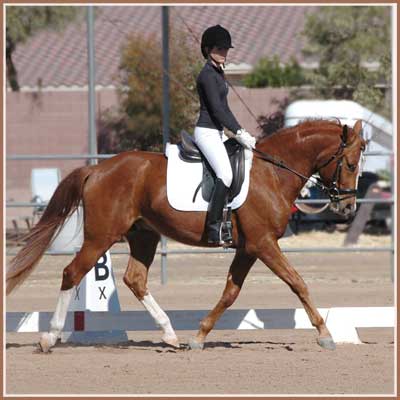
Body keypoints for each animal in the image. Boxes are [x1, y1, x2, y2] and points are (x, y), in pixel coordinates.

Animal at [5, 119, 366, 354]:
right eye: (349, 164)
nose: (348, 207)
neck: (274, 172)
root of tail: (97, 169)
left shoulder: (248, 248)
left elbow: (230, 293)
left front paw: (199, 336)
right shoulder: (263, 243)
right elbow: (297, 282)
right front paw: (325, 334)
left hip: (144, 236)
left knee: (135, 279)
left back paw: (170, 335)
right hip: (101, 236)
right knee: (72, 272)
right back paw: (49, 338)